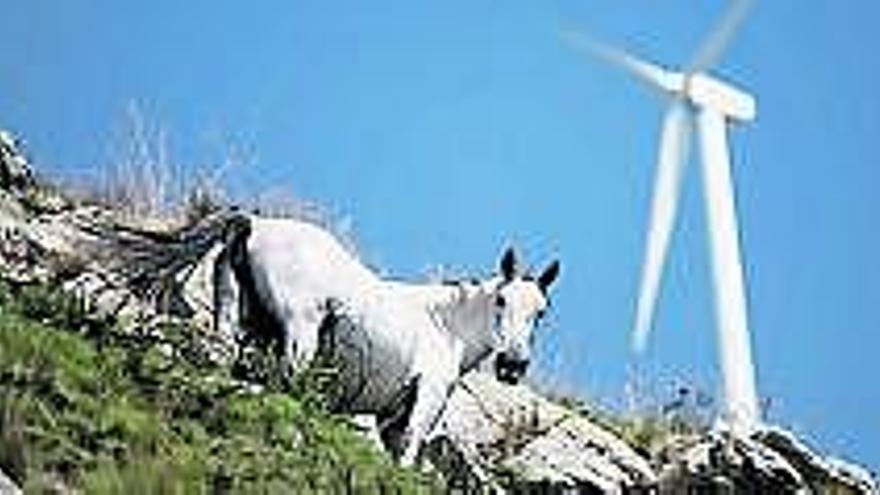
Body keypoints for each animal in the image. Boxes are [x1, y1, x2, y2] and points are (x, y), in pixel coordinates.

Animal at [198, 213, 556, 464]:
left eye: (541, 313)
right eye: (501, 301)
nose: (512, 365)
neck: (445, 326)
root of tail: (255, 223)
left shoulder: (391, 417)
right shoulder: (428, 396)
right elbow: (408, 455)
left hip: (236, 326)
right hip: (299, 338)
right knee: (284, 388)